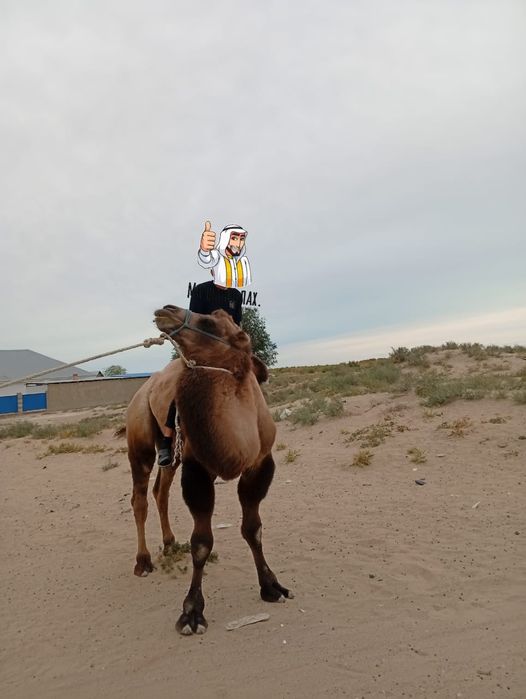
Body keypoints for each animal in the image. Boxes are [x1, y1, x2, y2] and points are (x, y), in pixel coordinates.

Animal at [125, 305, 293, 635]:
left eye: (208, 323)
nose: (165, 310)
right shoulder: (198, 469)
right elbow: (202, 543)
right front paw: (192, 613)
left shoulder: (259, 464)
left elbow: (253, 529)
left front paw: (271, 586)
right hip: (139, 442)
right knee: (139, 498)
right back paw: (143, 561)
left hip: (171, 455)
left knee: (160, 491)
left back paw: (170, 543)